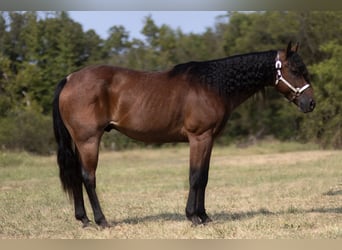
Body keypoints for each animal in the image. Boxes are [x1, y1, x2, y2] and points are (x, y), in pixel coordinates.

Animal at [52, 42, 316, 228]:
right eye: (295, 70)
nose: (310, 103)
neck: (212, 84)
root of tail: (70, 78)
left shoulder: (209, 139)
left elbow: (204, 177)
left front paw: (204, 216)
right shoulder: (199, 137)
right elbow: (195, 176)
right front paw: (194, 217)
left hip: (79, 142)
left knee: (76, 175)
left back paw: (84, 219)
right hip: (89, 140)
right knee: (88, 177)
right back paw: (101, 220)